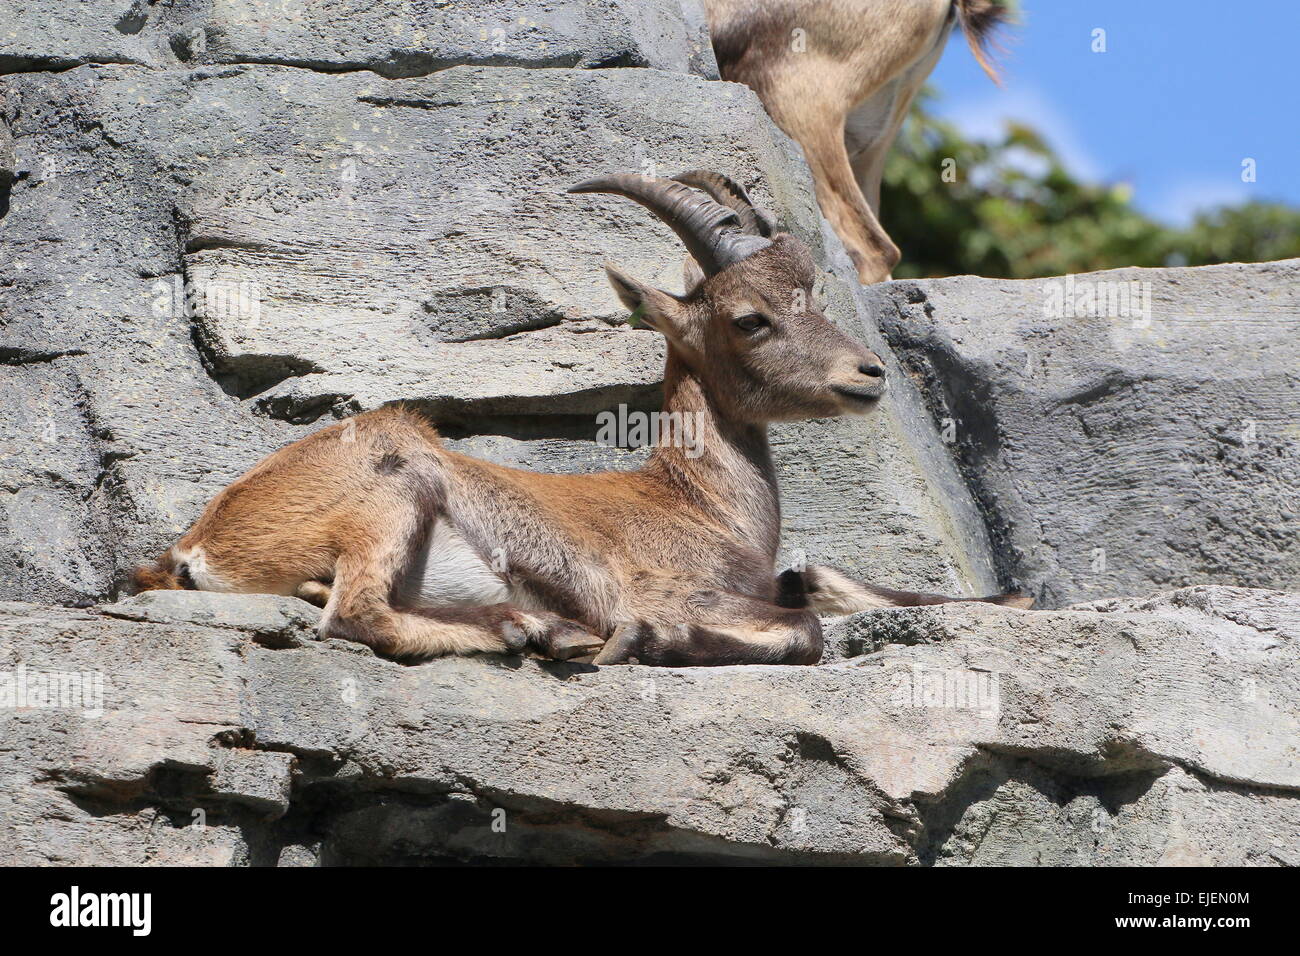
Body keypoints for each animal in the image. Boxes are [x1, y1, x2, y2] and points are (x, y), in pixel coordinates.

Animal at [133, 171, 1027, 666]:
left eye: (812, 296)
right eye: (750, 318)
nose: (868, 374)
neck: (699, 502)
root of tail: (197, 544)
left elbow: (824, 588)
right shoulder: (665, 588)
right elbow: (803, 626)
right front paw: (645, 642)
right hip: (397, 481)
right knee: (355, 618)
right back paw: (529, 629)